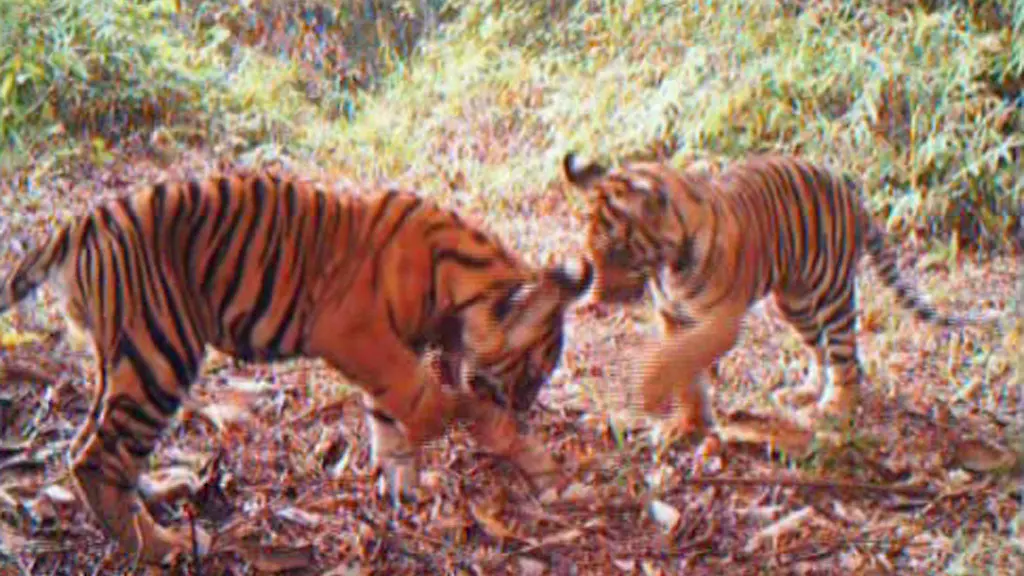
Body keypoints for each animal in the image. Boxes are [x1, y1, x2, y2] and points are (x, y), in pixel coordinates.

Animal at [0, 166, 593, 565]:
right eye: (534, 371)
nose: (525, 404)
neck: (461, 287)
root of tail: (82, 224)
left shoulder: (383, 350)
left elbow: (388, 416)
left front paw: (405, 486)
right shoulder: (355, 331)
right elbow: (427, 397)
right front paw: (480, 434)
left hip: (120, 356)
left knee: (90, 445)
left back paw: (158, 496)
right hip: (158, 353)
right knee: (97, 455)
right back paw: (157, 545)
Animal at [560, 151, 996, 438]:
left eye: (616, 249)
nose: (594, 299)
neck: (668, 264)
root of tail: (852, 194)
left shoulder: (720, 320)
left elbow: (680, 358)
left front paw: (650, 391)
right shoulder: (673, 317)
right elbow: (685, 372)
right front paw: (686, 423)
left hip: (832, 294)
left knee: (846, 358)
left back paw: (835, 407)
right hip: (795, 303)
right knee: (820, 350)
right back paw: (805, 391)